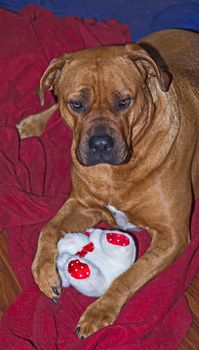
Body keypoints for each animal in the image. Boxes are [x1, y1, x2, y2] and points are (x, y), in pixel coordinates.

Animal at [16, 30, 199, 340]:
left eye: (124, 101)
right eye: (76, 104)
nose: (101, 144)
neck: (114, 172)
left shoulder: (172, 235)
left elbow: (129, 275)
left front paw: (99, 311)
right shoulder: (82, 204)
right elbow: (48, 229)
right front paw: (44, 274)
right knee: (49, 101)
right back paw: (30, 125)